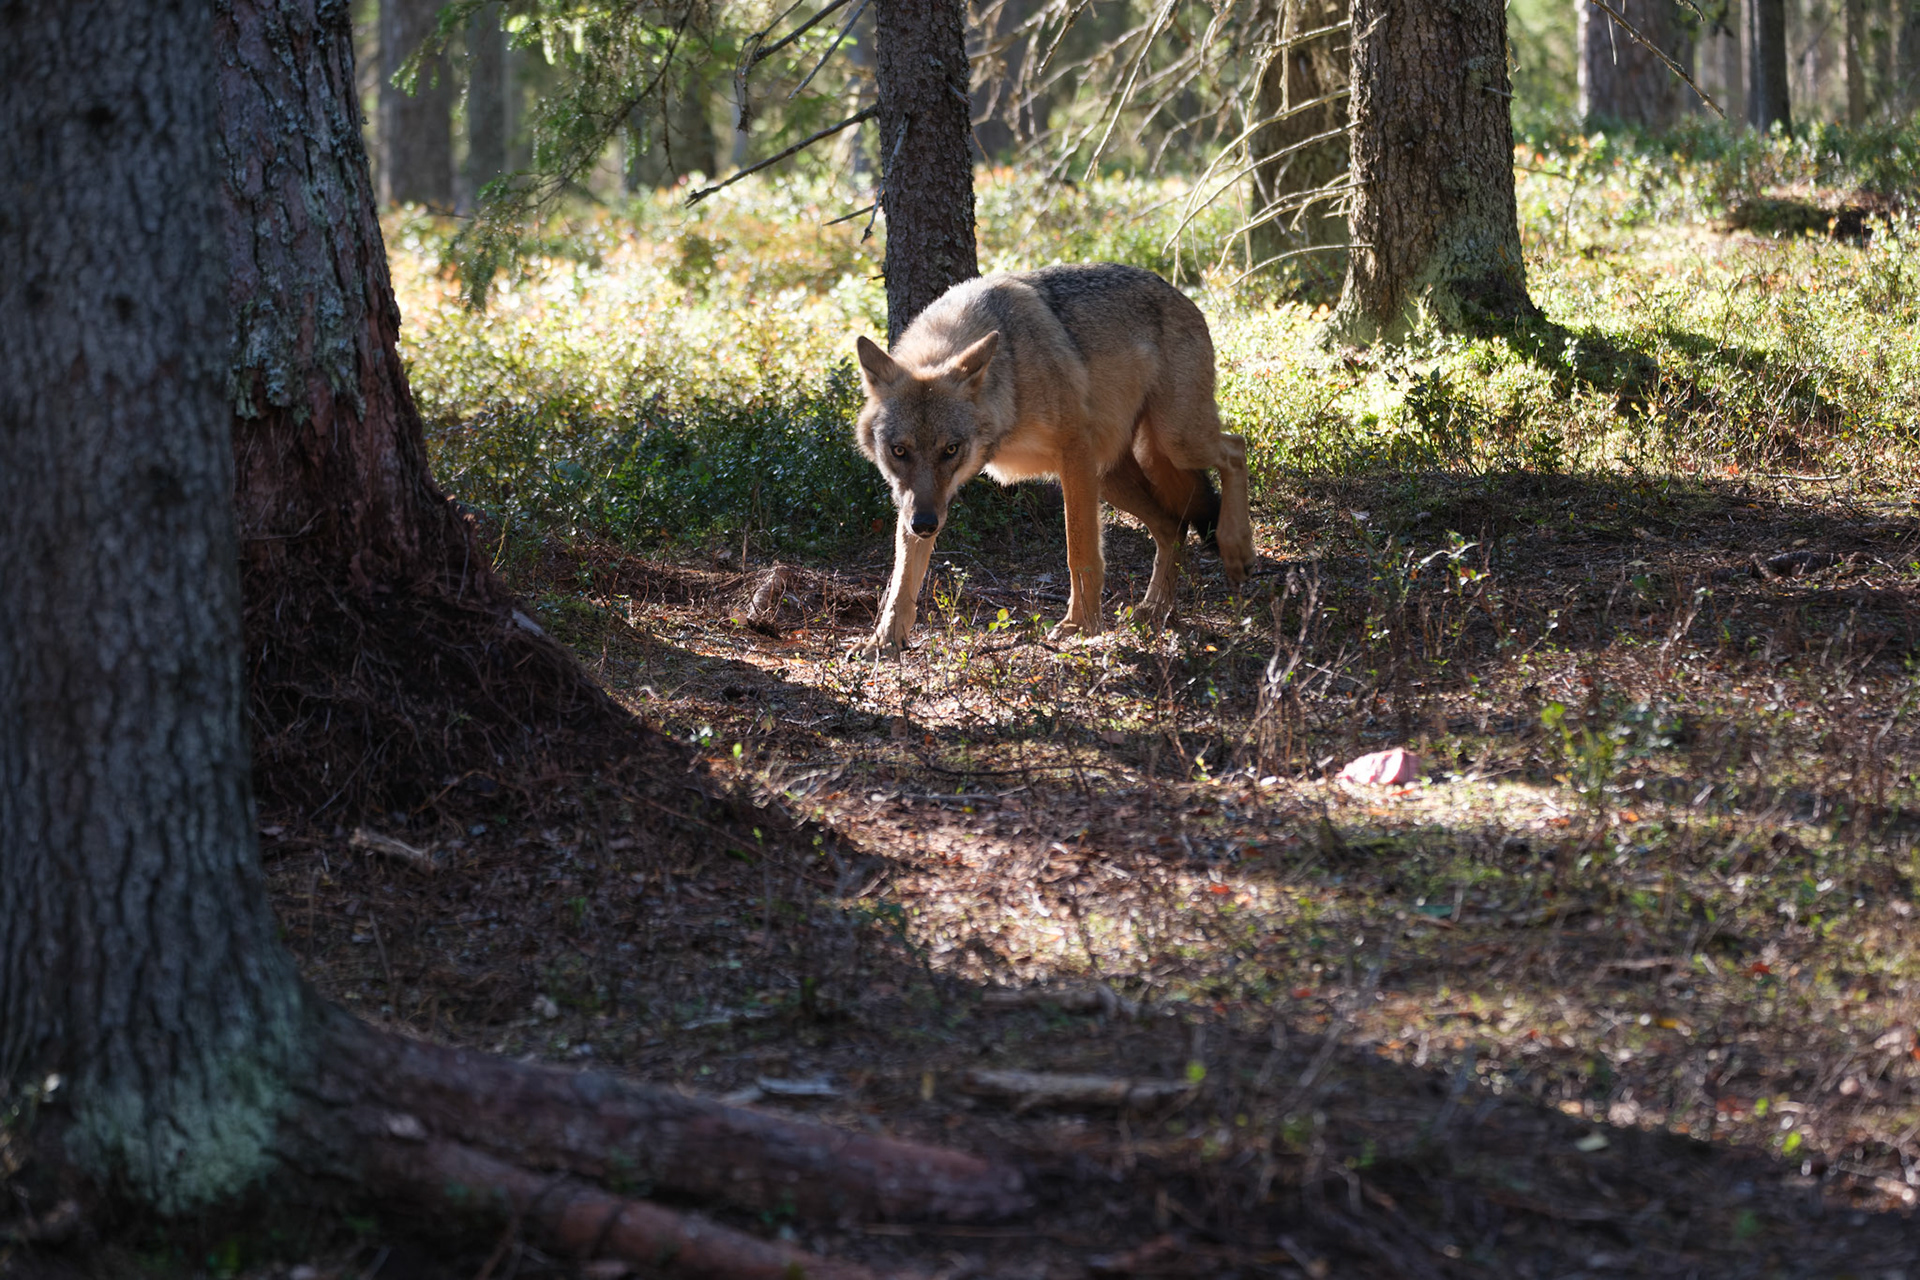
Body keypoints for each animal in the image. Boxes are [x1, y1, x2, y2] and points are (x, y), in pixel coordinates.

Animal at [851, 262, 1253, 655]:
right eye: (899, 451)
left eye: (950, 449)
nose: (924, 525)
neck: (1009, 388)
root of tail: (1178, 292)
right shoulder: (913, 500)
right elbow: (902, 578)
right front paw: (884, 640)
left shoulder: (1074, 454)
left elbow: (1080, 552)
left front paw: (1081, 626)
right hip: (1115, 475)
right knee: (1173, 525)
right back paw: (1154, 609)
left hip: (1177, 443)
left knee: (1236, 448)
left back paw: (1237, 549)